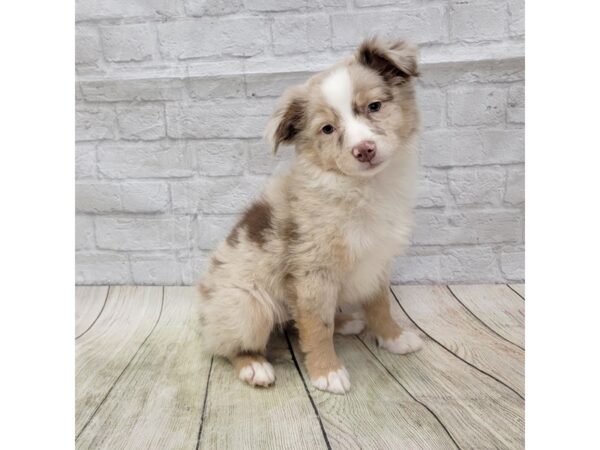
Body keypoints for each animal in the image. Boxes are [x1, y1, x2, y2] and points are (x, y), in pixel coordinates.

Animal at [199, 37, 424, 394]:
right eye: (327, 129)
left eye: (374, 106)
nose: (364, 150)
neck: (363, 188)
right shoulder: (312, 273)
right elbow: (317, 325)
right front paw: (326, 371)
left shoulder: (377, 261)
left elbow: (380, 304)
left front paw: (394, 337)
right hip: (247, 305)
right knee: (227, 345)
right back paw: (254, 366)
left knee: (295, 322)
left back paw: (346, 320)